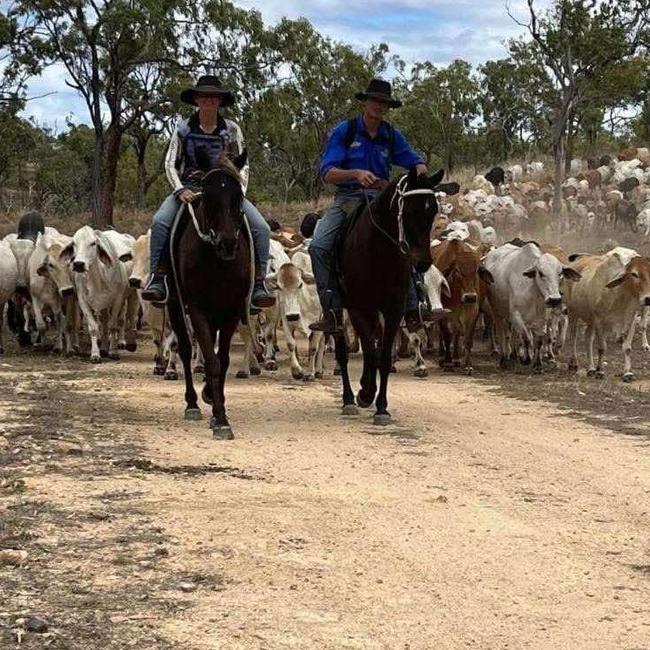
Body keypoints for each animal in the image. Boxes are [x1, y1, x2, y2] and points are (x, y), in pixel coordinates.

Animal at [166, 149, 249, 438]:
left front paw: (217, 407)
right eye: (208, 196)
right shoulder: (198, 309)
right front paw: (221, 420)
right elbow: (211, 361)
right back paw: (192, 403)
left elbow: (221, 360)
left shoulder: (231, 310)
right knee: (184, 347)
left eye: (238, 196)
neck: (217, 262)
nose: (227, 243)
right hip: (175, 307)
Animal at [334, 165, 446, 422]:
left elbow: (382, 356)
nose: (422, 262)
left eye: (433, 211)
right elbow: (370, 350)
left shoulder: (393, 309)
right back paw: (349, 399)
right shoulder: (358, 308)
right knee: (342, 351)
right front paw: (365, 394)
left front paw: (381, 406)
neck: (378, 253)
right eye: (411, 210)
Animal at [430, 238, 492, 372]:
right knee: (443, 335)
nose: (470, 297)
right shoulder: (443, 314)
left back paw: (456, 358)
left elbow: (467, 339)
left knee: (456, 334)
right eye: (457, 271)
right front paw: (448, 362)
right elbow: (446, 336)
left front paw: (468, 365)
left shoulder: (472, 312)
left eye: (476, 271)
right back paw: (442, 358)